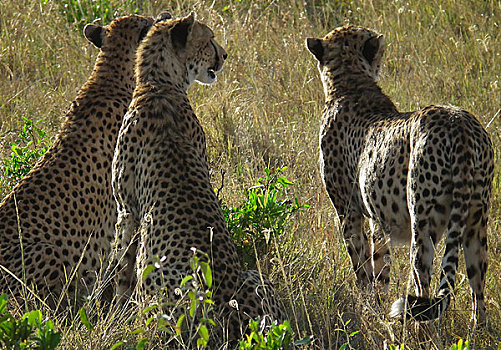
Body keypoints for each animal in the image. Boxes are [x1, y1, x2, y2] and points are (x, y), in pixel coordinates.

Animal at [110, 14, 282, 340]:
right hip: (255, 279)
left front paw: (111, 310)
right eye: (209, 40)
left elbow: (120, 266)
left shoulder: (127, 210)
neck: (158, 84)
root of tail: (225, 313)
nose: (224, 55)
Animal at [304, 25, 492, 326]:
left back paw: (420, 330)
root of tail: (458, 121)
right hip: (476, 220)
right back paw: (478, 329)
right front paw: (378, 310)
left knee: (423, 284)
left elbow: (362, 269)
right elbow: (380, 267)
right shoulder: (379, 222)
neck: (350, 83)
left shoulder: (349, 212)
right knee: (478, 286)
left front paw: (367, 309)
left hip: (423, 223)